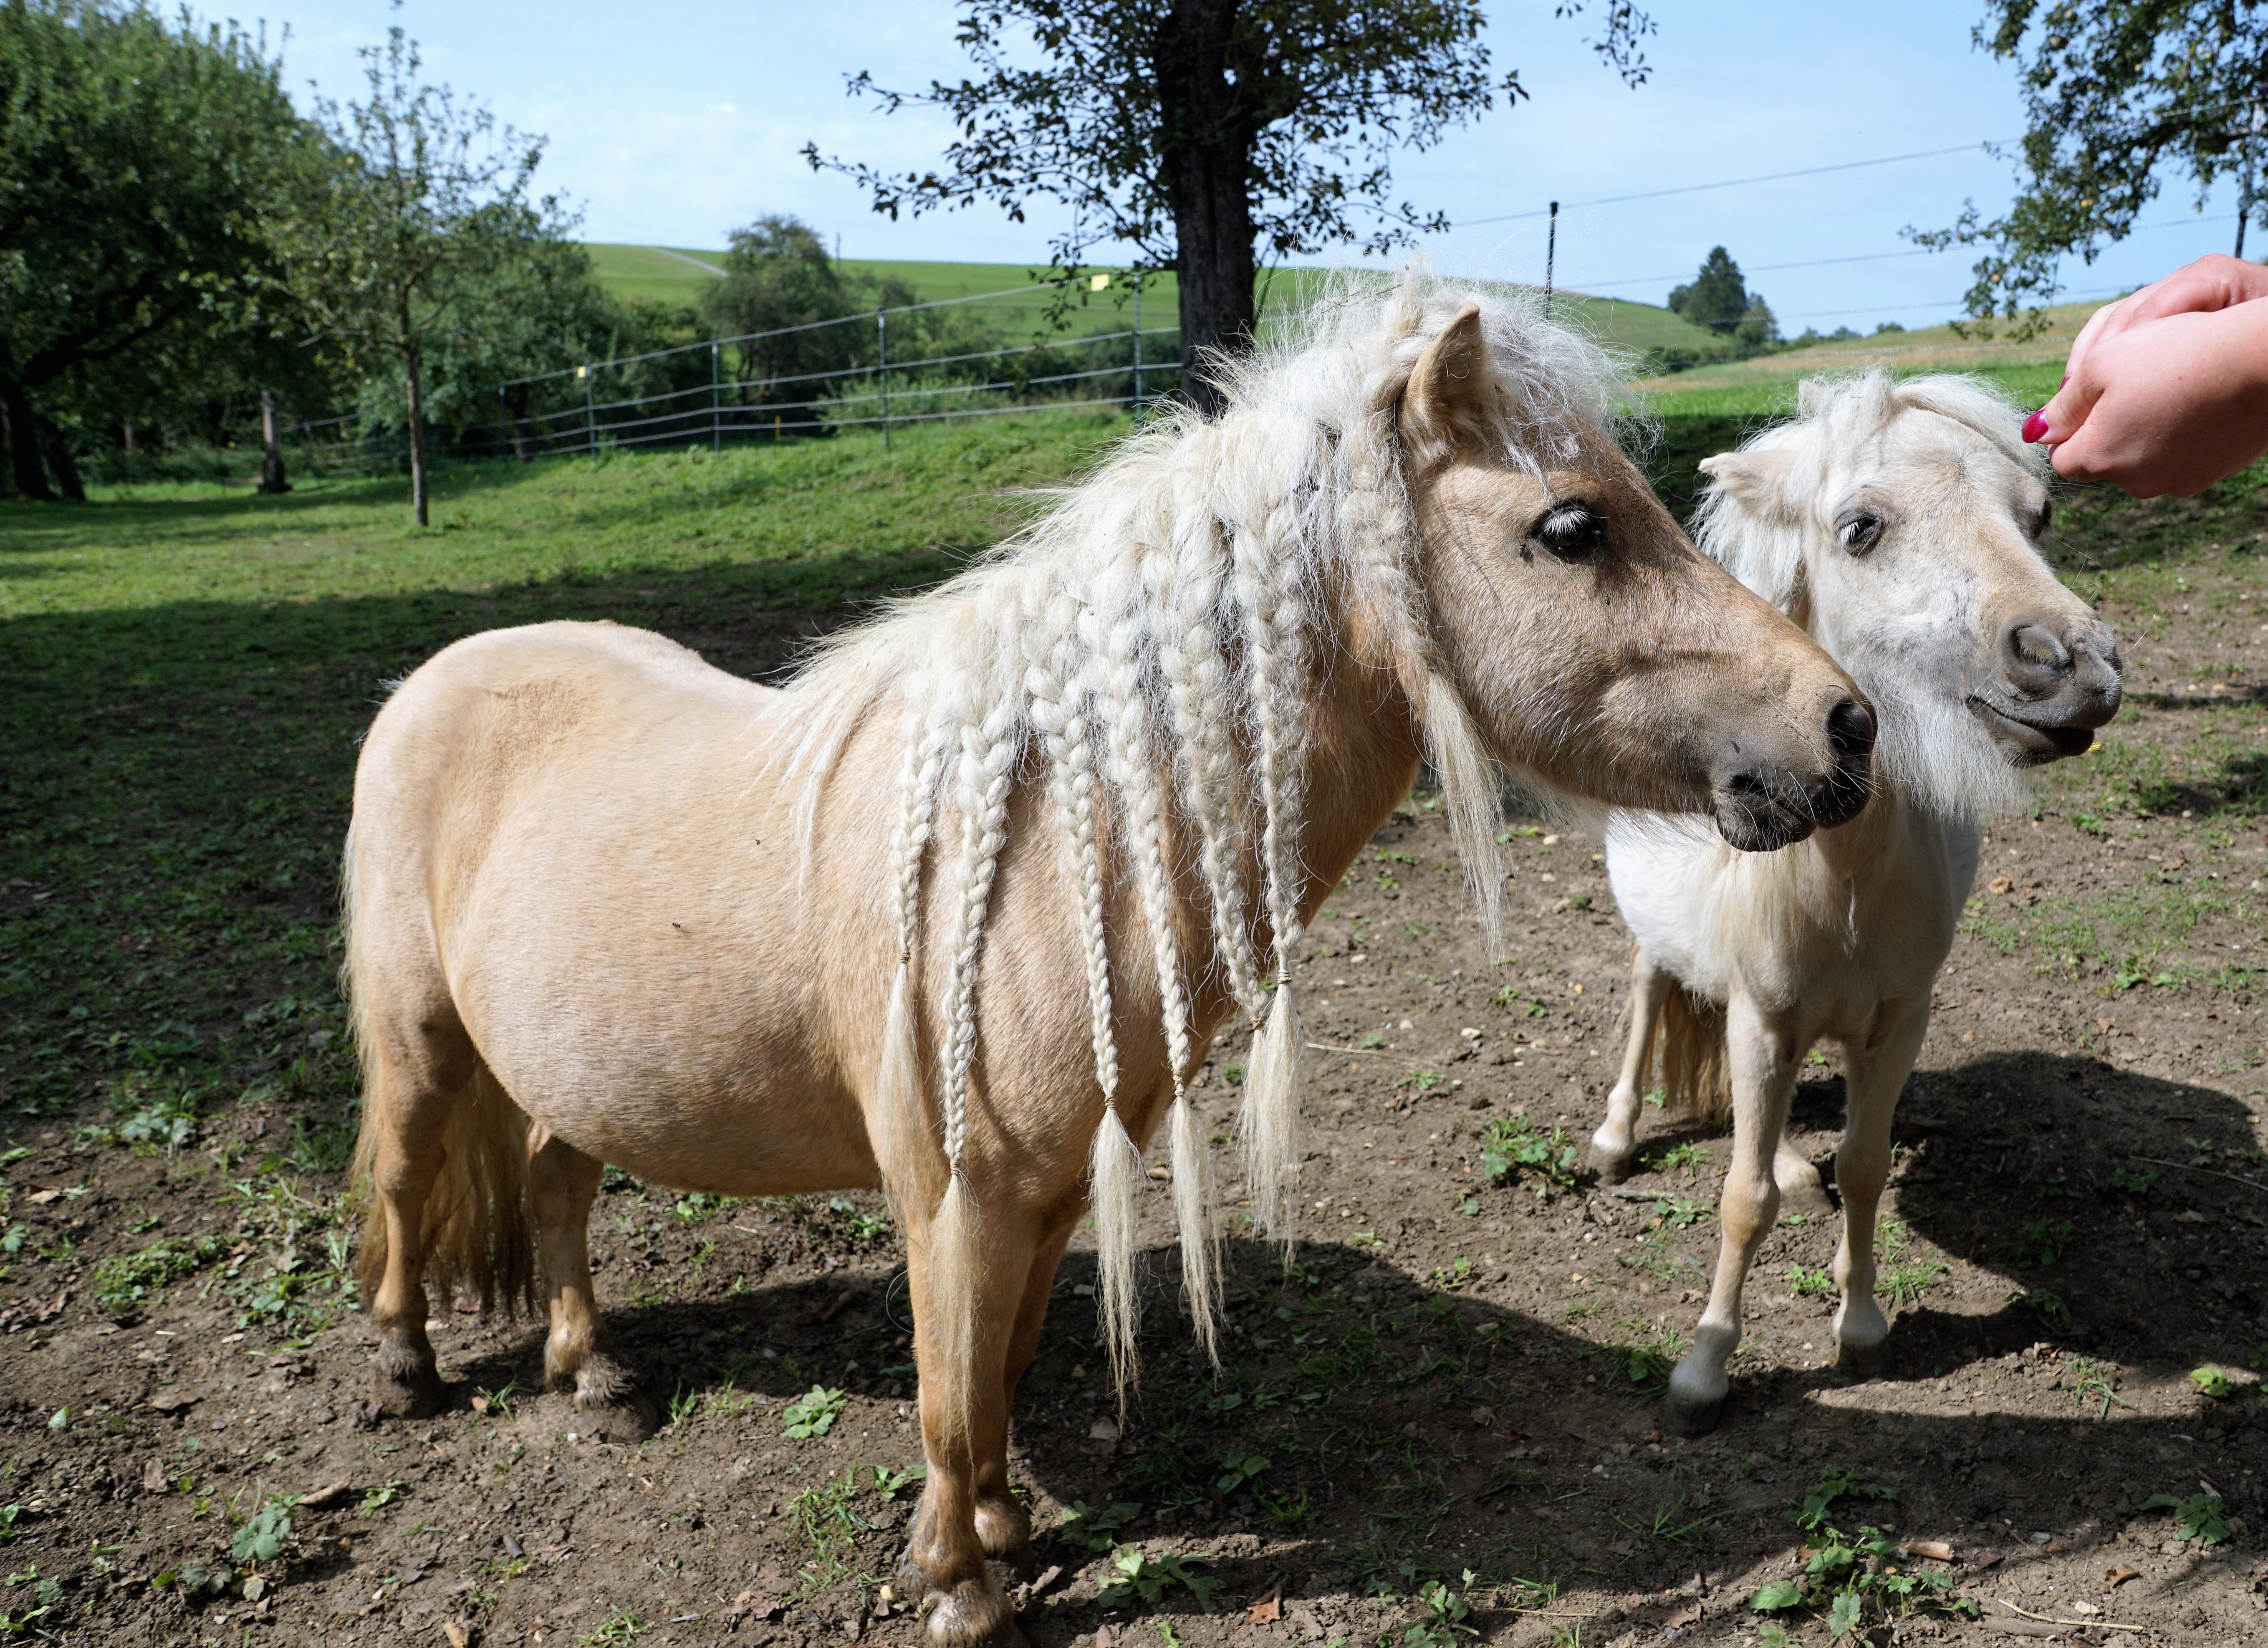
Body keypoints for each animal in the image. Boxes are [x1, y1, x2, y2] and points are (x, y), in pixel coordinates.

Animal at [340, 271, 1878, 1647]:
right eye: (1571, 526)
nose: (1845, 726)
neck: (1037, 847)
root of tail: (437, 676)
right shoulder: (954, 1196)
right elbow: (948, 1387)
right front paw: (958, 1586)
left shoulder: (1048, 1188)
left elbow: (1004, 1364)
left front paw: (1004, 1523)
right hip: (422, 1045)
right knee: (409, 1178)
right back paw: (407, 1365)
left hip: (563, 1068)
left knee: (554, 1180)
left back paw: (591, 1370)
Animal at [1585, 371, 2122, 1436]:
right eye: (1859, 527)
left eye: (2037, 515)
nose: (2076, 668)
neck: (1838, 873)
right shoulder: (1761, 1020)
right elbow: (1740, 1199)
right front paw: (1703, 1368)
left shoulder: (1895, 1019)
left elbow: (1864, 1164)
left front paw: (1863, 1326)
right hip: (1659, 947)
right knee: (1645, 1001)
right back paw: (1618, 1137)